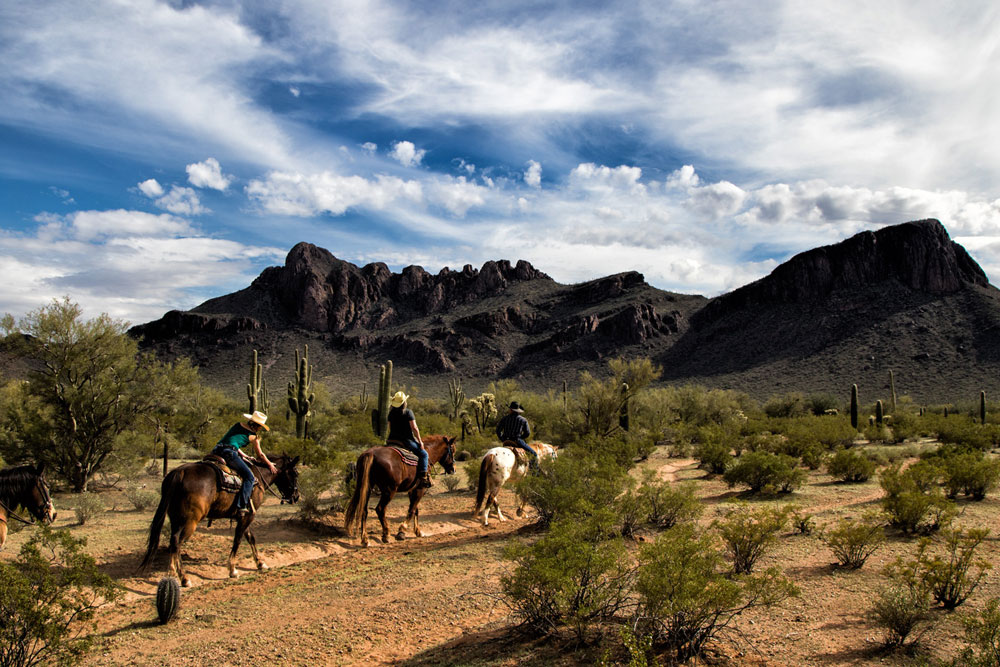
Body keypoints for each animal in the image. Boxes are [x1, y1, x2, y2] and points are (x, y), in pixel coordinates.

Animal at [139, 452, 298, 588]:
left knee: (173, 541)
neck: (257, 475)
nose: (296, 496)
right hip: (190, 522)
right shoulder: (248, 516)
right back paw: (183, 578)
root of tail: (179, 473)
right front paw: (233, 569)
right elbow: (238, 539)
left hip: (176, 519)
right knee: (177, 542)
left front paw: (260, 563)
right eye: (295, 473)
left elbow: (250, 538)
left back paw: (175, 573)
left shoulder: (244, 515)